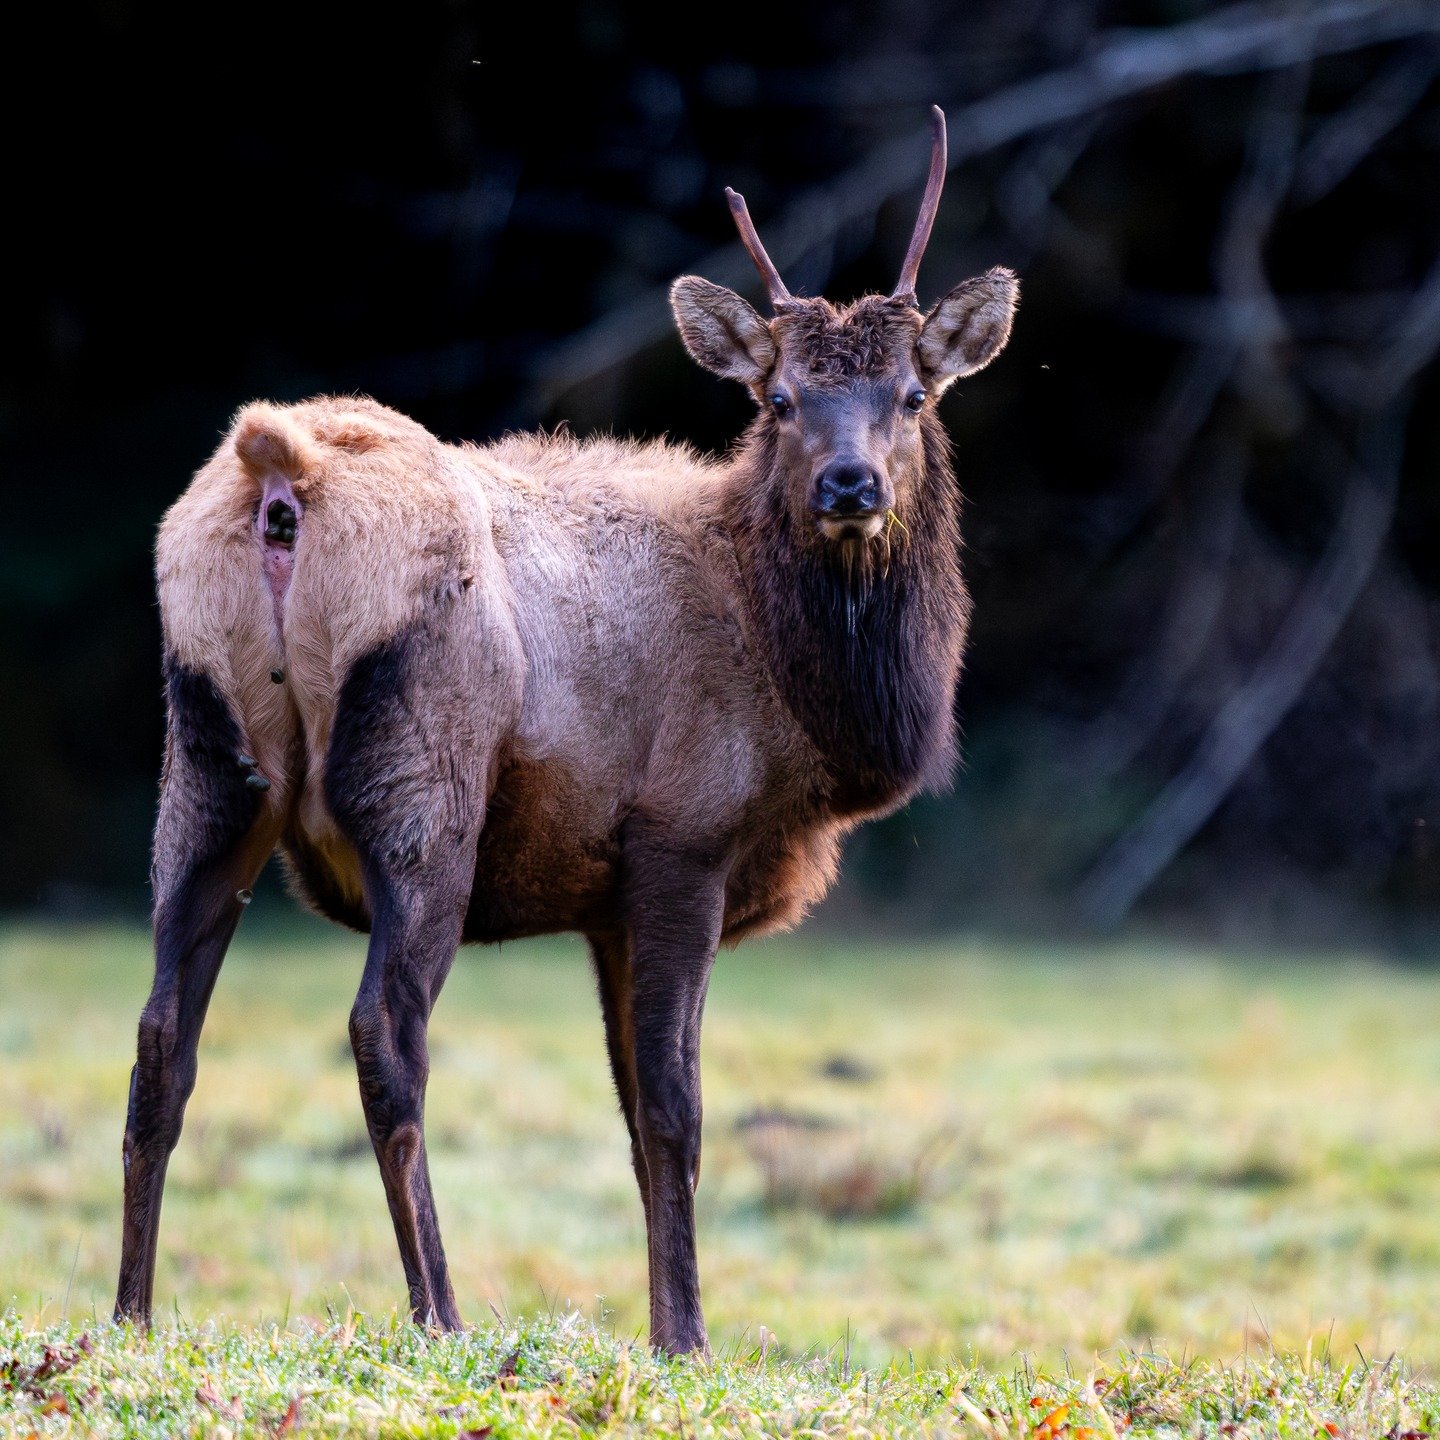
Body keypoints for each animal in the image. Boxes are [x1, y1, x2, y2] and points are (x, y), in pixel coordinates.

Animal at [114, 106, 1017, 1355]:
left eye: (913, 396)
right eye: (778, 399)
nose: (850, 487)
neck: (805, 716)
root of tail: (277, 473)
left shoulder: (605, 899)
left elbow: (632, 1115)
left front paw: (661, 1321)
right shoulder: (683, 835)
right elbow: (678, 1108)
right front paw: (686, 1336)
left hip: (203, 766)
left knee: (160, 1037)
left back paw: (131, 1316)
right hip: (421, 782)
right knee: (385, 1032)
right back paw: (439, 1312)